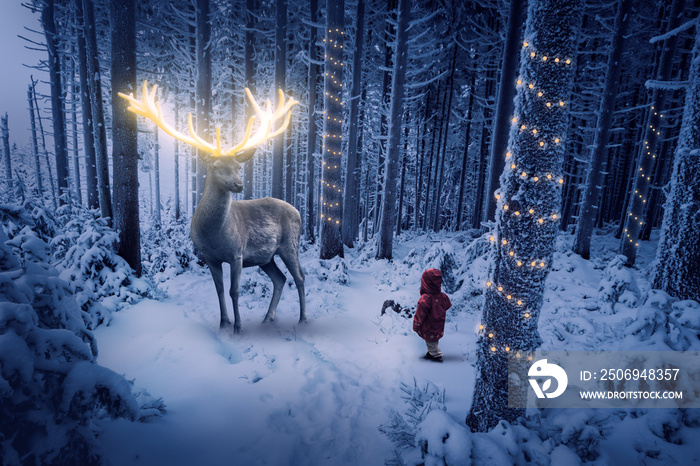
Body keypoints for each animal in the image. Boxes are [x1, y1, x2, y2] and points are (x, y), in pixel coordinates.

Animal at [119, 82, 304, 334]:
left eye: (238, 166)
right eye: (216, 166)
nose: (239, 184)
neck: (215, 235)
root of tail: (298, 212)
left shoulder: (237, 253)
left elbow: (234, 291)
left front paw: (238, 328)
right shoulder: (209, 256)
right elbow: (218, 290)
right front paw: (223, 324)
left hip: (289, 244)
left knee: (300, 277)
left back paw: (303, 319)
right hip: (266, 257)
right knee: (280, 279)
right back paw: (268, 318)